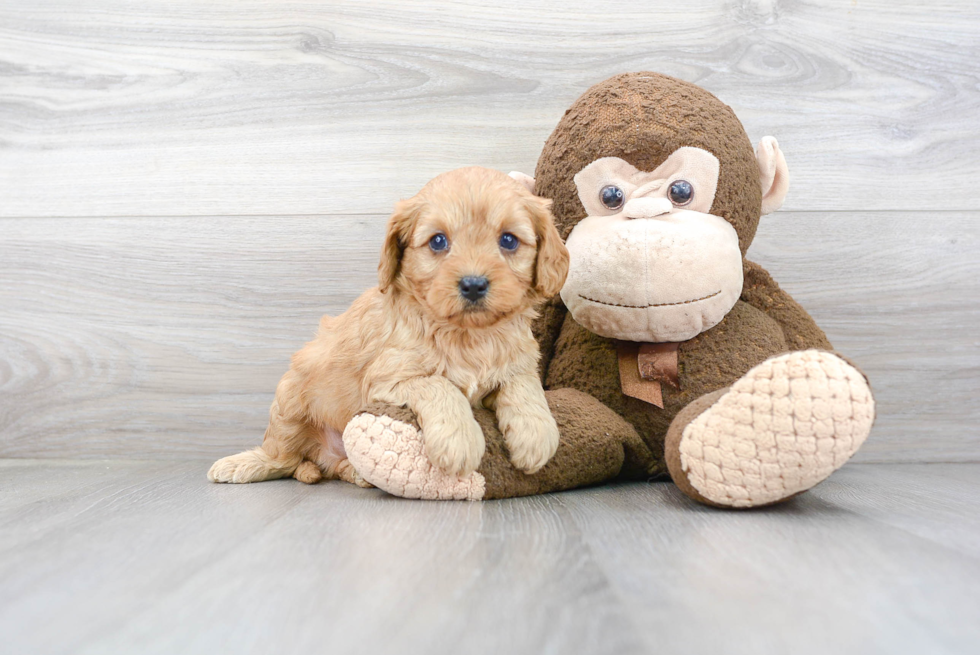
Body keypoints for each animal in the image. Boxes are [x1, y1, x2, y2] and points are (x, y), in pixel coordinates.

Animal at [211, 168, 572, 486]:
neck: (468, 334)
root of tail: (319, 455)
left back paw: (356, 473)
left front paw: (537, 434)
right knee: (283, 457)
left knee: (332, 466)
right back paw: (242, 465)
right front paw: (459, 440)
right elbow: (439, 385)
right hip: (289, 402)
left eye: (509, 240)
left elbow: (525, 385)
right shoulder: (386, 379)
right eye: (438, 241)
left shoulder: (518, 360)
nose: (473, 284)